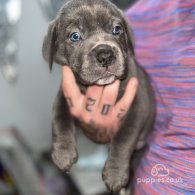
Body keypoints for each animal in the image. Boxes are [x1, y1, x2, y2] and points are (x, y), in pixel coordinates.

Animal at [42, 0, 155, 193]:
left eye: (117, 29)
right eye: (75, 36)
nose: (105, 54)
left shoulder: (138, 105)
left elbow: (124, 137)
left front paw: (115, 173)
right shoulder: (65, 95)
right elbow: (59, 119)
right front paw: (63, 153)